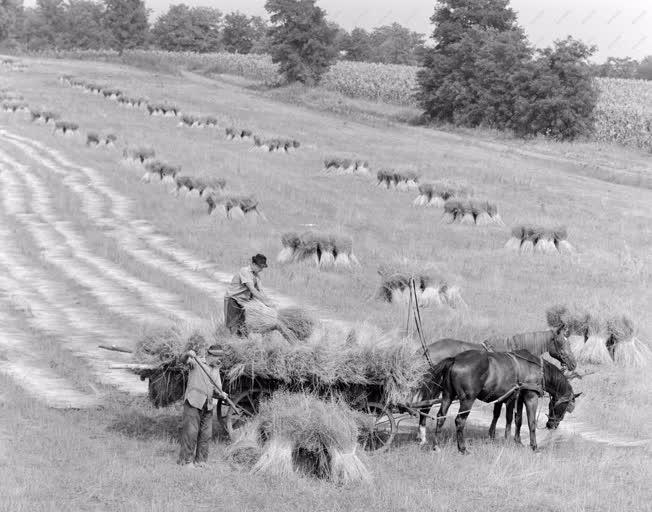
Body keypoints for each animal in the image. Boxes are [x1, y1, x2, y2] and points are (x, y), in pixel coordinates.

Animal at [428, 350, 580, 454]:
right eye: (566, 406)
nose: (552, 425)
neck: (538, 370)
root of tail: (455, 359)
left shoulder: (518, 397)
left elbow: (517, 420)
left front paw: (517, 441)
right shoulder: (530, 397)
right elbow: (529, 422)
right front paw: (533, 446)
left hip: (447, 395)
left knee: (441, 416)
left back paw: (436, 446)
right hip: (467, 399)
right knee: (460, 421)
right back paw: (463, 449)